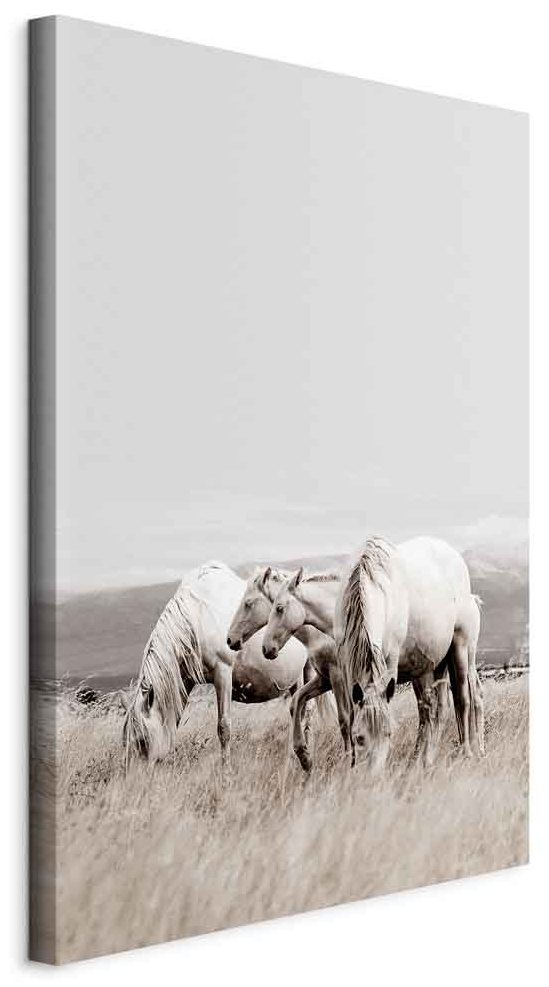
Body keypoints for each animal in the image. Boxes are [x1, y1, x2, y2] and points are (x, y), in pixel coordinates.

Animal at [122, 561, 309, 770]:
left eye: (142, 741)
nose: (135, 775)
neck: (197, 617)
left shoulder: (223, 673)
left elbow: (223, 728)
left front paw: (225, 770)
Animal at [227, 566, 347, 771]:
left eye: (248, 603)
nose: (230, 639)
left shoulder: (339, 677)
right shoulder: (326, 678)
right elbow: (296, 704)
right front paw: (304, 757)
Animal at [262, 537, 484, 772]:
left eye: (279, 608)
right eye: (360, 738)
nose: (267, 648)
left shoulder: (386, 663)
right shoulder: (341, 669)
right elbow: (331, 710)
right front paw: (314, 758)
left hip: (460, 651)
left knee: (463, 699)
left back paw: (467, 752)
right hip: (433, 665)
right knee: (435, 709)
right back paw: (424, 760)